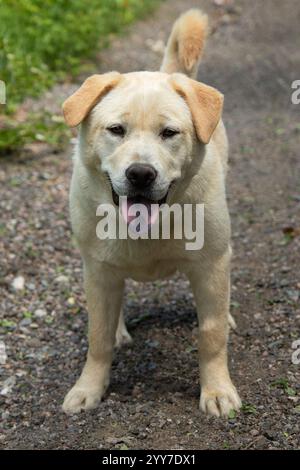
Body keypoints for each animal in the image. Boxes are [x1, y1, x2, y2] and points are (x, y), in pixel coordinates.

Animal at [61, 9, 241, 416]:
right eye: (116, 129)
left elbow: (211, 335)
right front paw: (89, 387)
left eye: (169, 133)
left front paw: (217, 390)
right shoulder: (98, 270)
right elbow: (97, 337)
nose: (140, 173)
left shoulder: (210, 265)